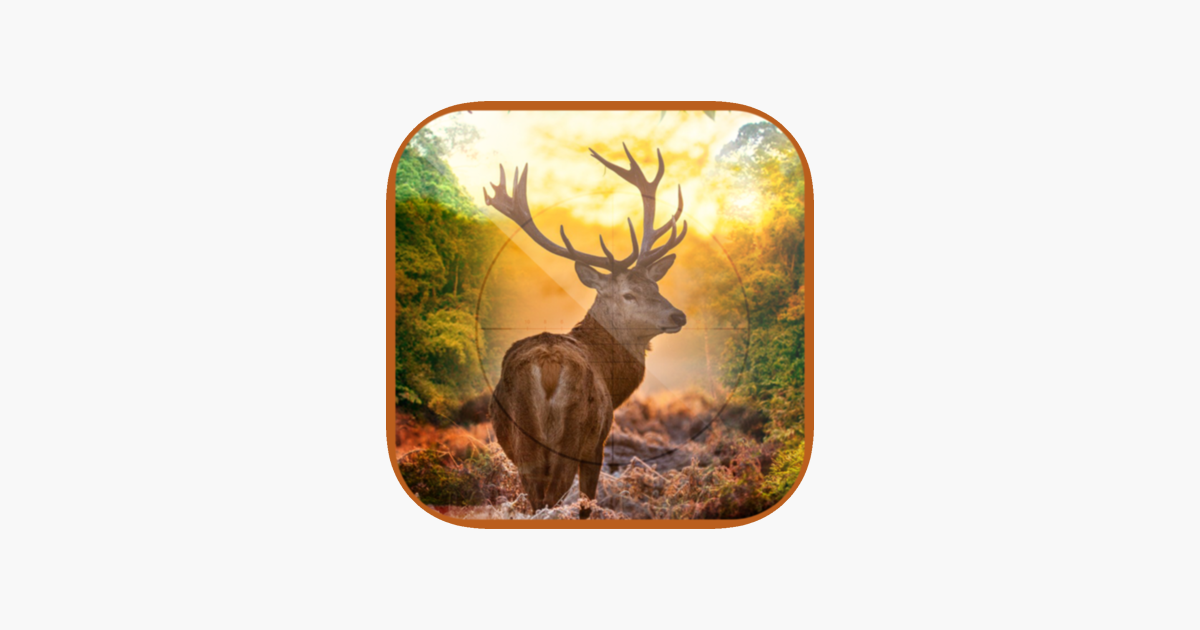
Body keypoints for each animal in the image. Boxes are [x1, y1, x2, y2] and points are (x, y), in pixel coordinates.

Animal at [484, 144, 689, 518]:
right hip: (572, 436)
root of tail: (548, 366)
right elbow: (587, 505)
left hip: (525, 444)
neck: (611, 376)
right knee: (552, 499)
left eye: (655, 286)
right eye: (629, 294)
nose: (678, 315)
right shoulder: (598, 443)